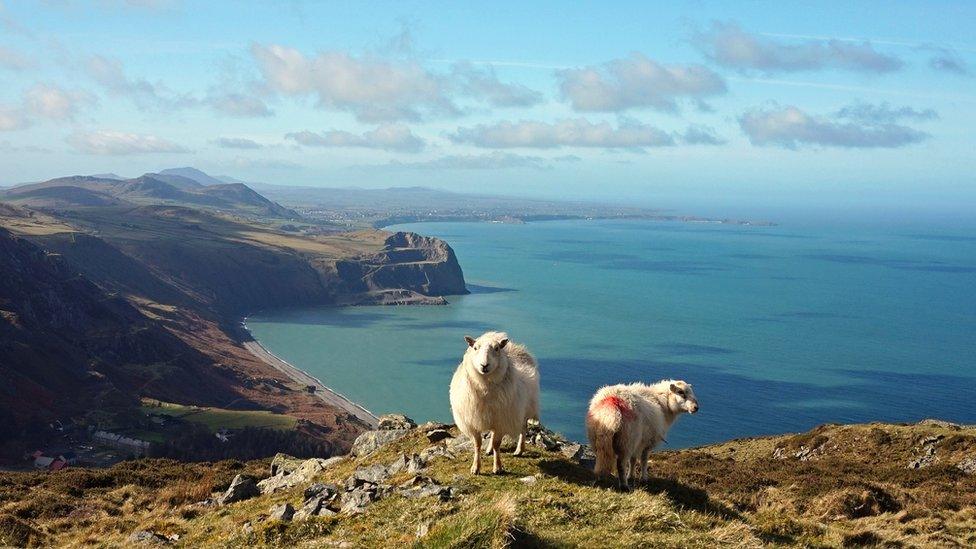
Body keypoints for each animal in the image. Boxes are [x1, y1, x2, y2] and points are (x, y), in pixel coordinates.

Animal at [450, 332, 540, 474]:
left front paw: (497, 467)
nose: (484, 365)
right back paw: (489, 450)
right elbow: (477, 444)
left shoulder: (502, 421)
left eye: (497, 348)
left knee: (523, 428)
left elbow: (497, 444)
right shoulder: (473, 421)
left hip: (523, 409)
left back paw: (519, 450)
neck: (485, 387)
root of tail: (514, 346)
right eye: (475, 348)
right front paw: (475, 467)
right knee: (492, 434)